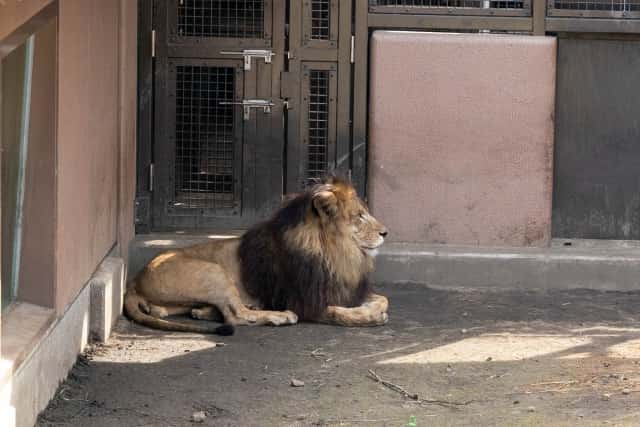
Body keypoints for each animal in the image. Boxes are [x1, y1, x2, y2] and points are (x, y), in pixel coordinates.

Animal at [122, 176, 388, 336]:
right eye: (359, 216)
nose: (386, 232)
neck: (335, 254)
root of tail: (135, 280)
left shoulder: (345, 290)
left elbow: (383, 299)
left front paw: (374, 309)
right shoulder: (301, 300)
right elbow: (337, 313)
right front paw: (371, 318)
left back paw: (205, 311)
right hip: (214, 272)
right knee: (237, 315)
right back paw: (279, 317)